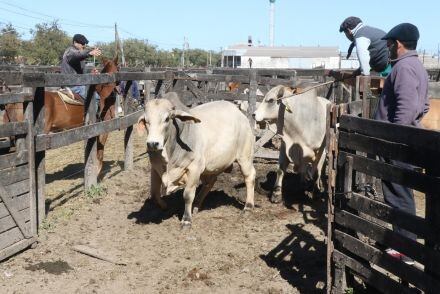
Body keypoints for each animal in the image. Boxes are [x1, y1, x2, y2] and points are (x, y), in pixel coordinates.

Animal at [137, 92, 254, 227]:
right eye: (146, 121)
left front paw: (186, 220)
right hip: (210, 166)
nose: (152, 144)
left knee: (249, 176)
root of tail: (238, 112)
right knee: (210, 182)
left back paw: (248, 206)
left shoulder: (194, 168)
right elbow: (154, 193)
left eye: (167, 119)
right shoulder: (155, 168)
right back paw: (197, 204)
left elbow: (187, 195)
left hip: (244, 157)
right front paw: (164, 206)